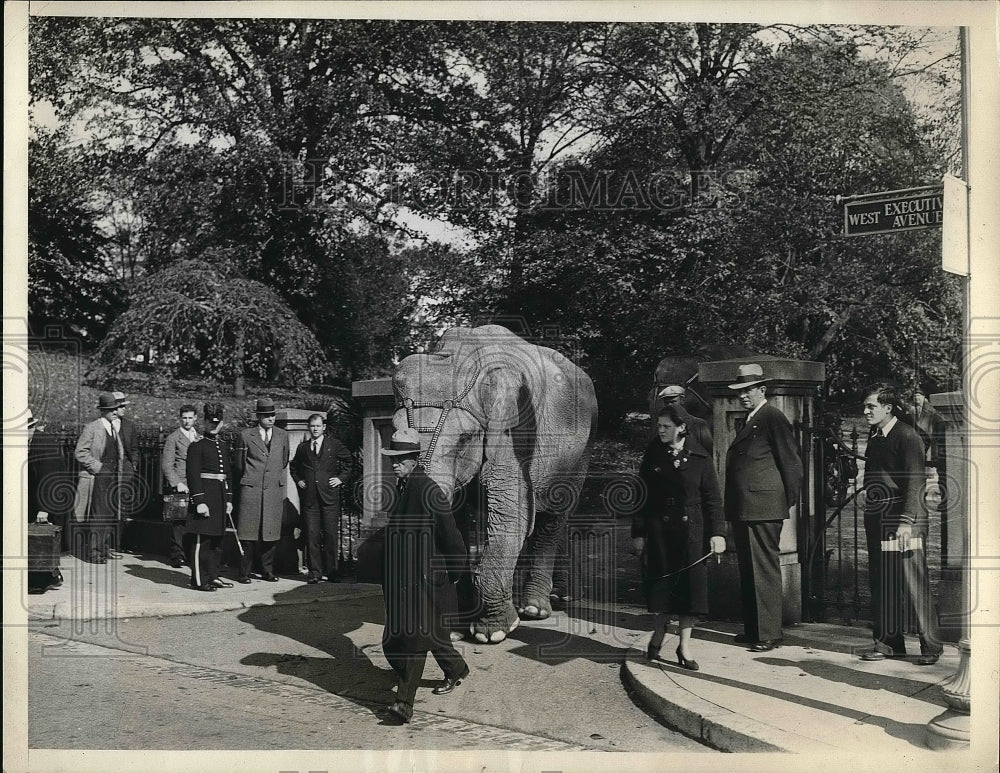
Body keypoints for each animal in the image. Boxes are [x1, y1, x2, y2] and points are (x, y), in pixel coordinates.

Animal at [388, 322, 592, 644]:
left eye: (464, 439)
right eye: (394, 434)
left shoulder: (514, 426)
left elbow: (511, 511)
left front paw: (493, 631)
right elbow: (460, 526)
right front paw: (457, 630)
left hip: (580, 451)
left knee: (553, 516)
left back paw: (535, 608)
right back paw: (558, 596)